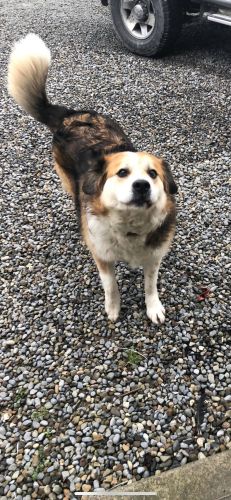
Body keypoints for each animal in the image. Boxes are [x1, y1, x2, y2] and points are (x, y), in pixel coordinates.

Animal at [7, 33, 177, 322]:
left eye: (153, 174)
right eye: (122, 173)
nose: (142, 186)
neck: (130, 226)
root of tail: (71, 114)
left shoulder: (154, 256)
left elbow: (150, 284)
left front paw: (153, 307)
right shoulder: (103, 255)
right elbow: (111, 285)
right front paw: (114, 309)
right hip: (68, 181)